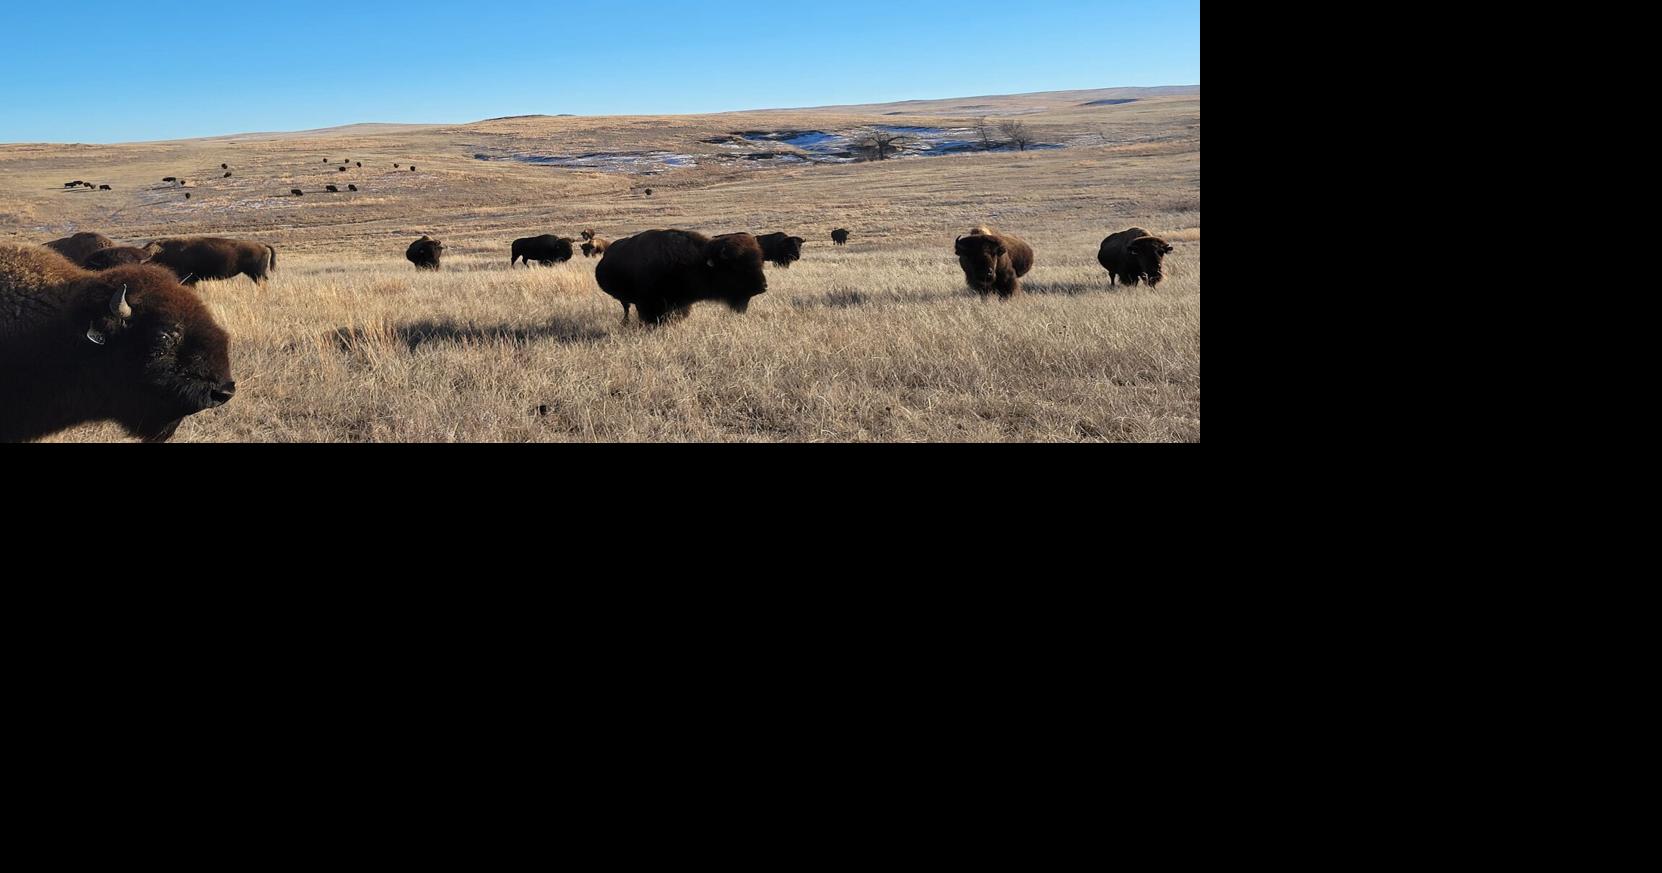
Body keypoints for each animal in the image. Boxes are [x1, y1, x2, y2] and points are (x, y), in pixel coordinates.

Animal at [595, 229, 767, 325]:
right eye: (736, 267)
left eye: (759, 262)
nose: (763, 286)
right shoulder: (647, 303)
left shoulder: (681, 303)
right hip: (625, 299)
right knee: (626, 309)